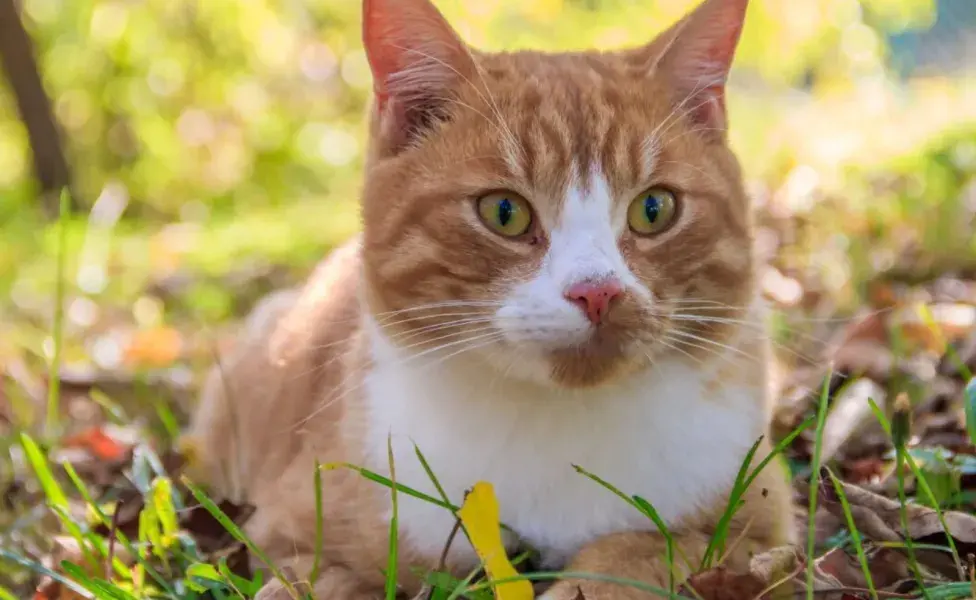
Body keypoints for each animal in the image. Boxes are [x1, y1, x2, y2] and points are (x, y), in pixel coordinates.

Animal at [187, 0, 796, 596]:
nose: (597, 291)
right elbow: (318, 580)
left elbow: (647, 552)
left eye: (654, 209)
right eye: (505, 212)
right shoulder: (290, 529)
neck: (556, 427)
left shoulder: (761, 524)